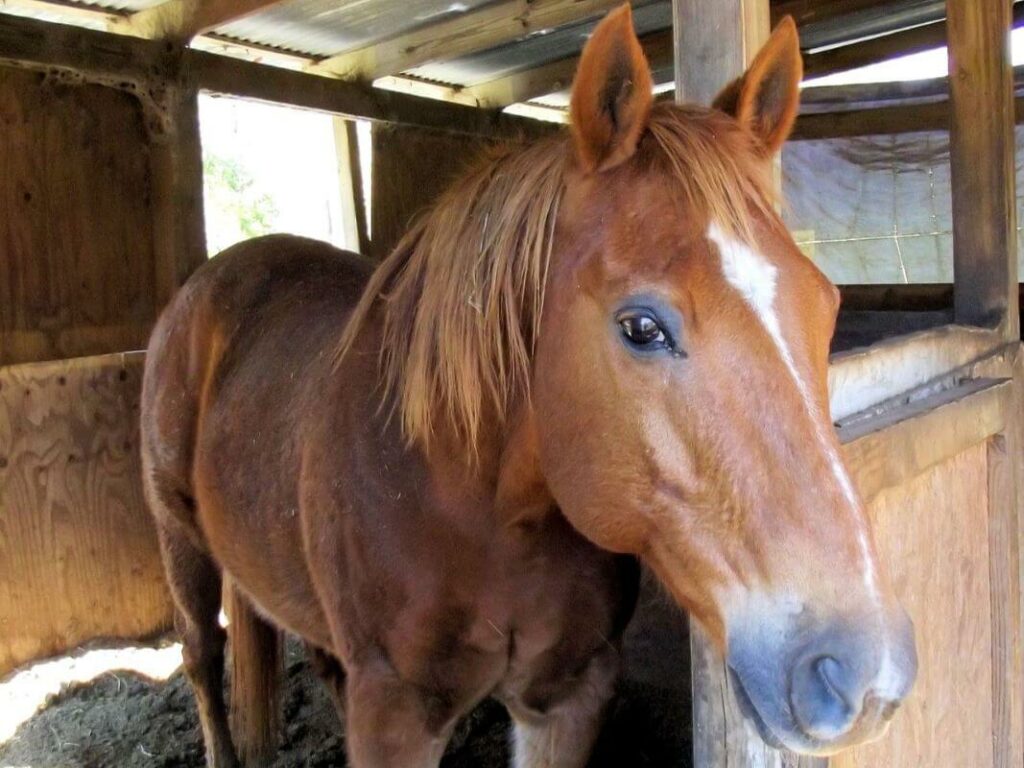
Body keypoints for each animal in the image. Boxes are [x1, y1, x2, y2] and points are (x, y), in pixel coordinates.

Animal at [140, 7, 917, 768]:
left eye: (827, 306)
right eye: (641, 327)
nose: (863, 676)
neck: (475, 505)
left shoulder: (569, 695)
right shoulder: (394, 712)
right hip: (180, 541)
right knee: (203, 656)